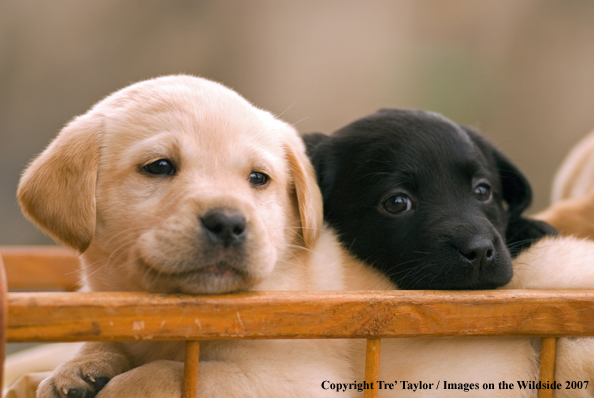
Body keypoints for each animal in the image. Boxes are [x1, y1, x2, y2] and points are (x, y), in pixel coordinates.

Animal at [17, 75, 352, 398]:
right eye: (159, 166)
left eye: (258, 177)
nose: (227, 223)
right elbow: (99, 339)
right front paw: (76, 368)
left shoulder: (296, 378)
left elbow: (177, 373)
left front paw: (121, 388)